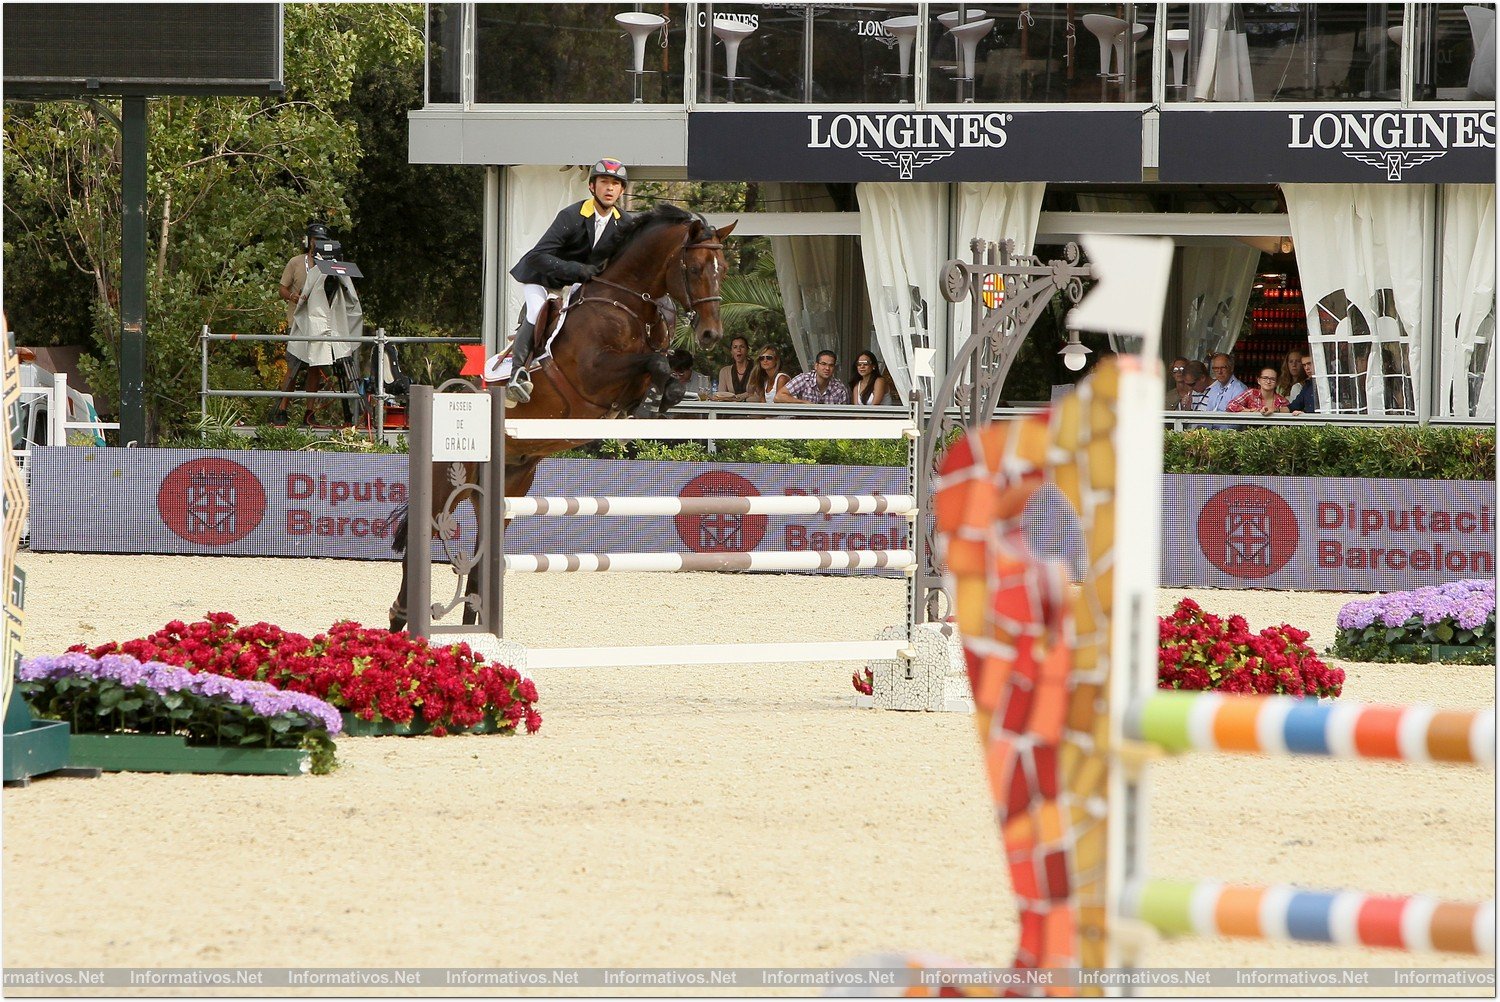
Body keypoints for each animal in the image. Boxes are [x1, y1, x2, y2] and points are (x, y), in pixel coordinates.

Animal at [390, 201, 735, 630]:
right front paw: (655, 397)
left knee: (481, 552)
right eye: (695, 268)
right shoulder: (593, 374)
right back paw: (401, 616)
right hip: (447, 478)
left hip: (509, 483)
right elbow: (653, 362)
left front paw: (661, 397)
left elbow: (671, 363)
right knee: (422, 534)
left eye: (724, 268)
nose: (711, 335)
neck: (629, 304)